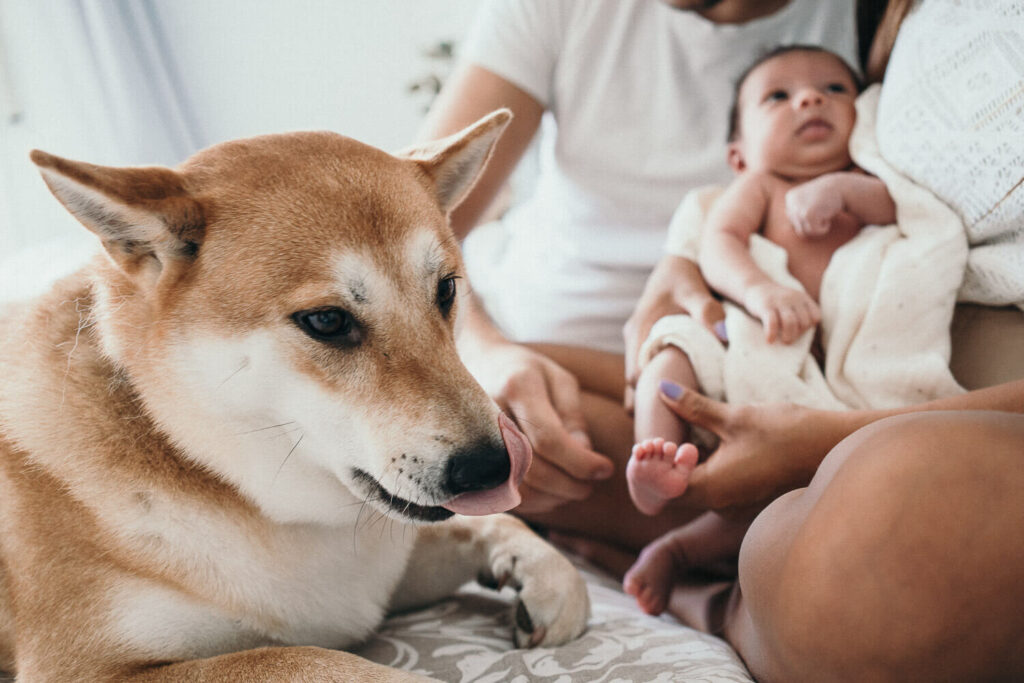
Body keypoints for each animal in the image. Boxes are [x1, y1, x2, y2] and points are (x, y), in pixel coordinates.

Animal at [0, 109, 589, 679]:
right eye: (326, 321)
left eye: (446, 289)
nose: (496, 469)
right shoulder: (87, 668)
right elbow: (317, 660)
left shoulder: (366, 584)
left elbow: (493, 526)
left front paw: (545, 573)